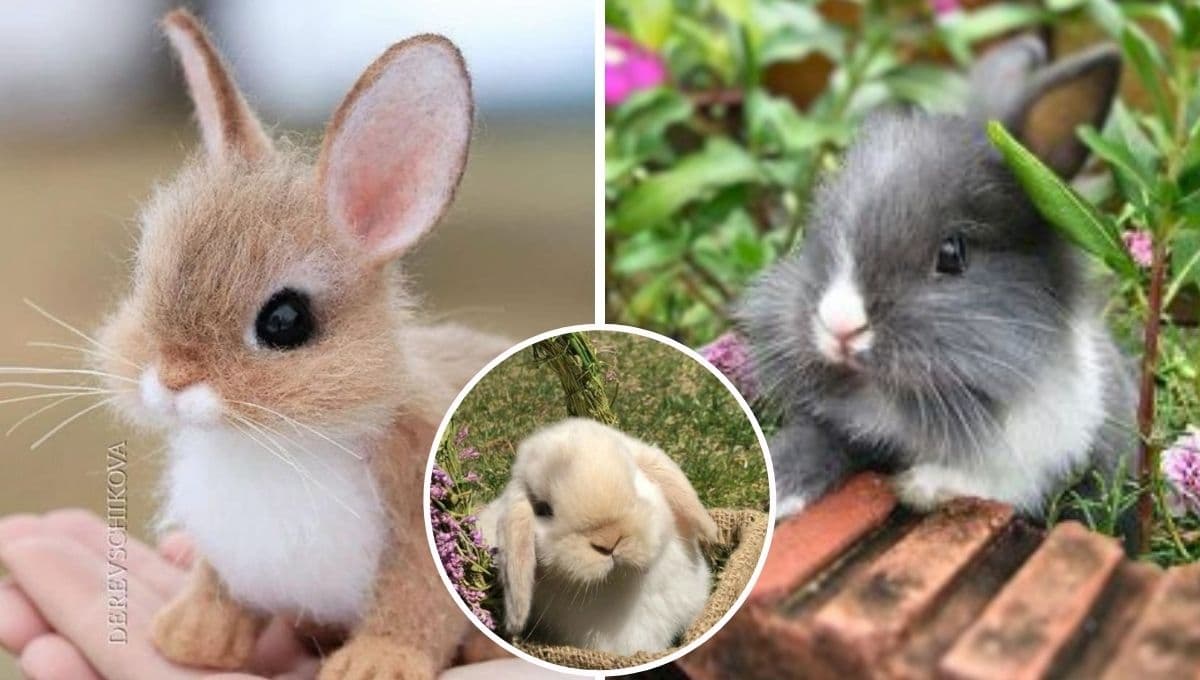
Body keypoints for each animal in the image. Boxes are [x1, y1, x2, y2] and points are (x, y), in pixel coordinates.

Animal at [89, 9, 512, 679]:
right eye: (143, 277)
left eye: (284, 321)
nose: (173, 380)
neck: (274, 440)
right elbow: (218, 584)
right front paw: (191, 637)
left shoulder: (417, 524)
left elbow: (414, 603)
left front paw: (375, 664)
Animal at [739, 36, 1138, 526]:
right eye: (819, 228)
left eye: (953, 254)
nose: (840, 326)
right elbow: (814, 443)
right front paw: (781, 486)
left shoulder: (1036, 460)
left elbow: (996, 485)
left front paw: (919, 484)